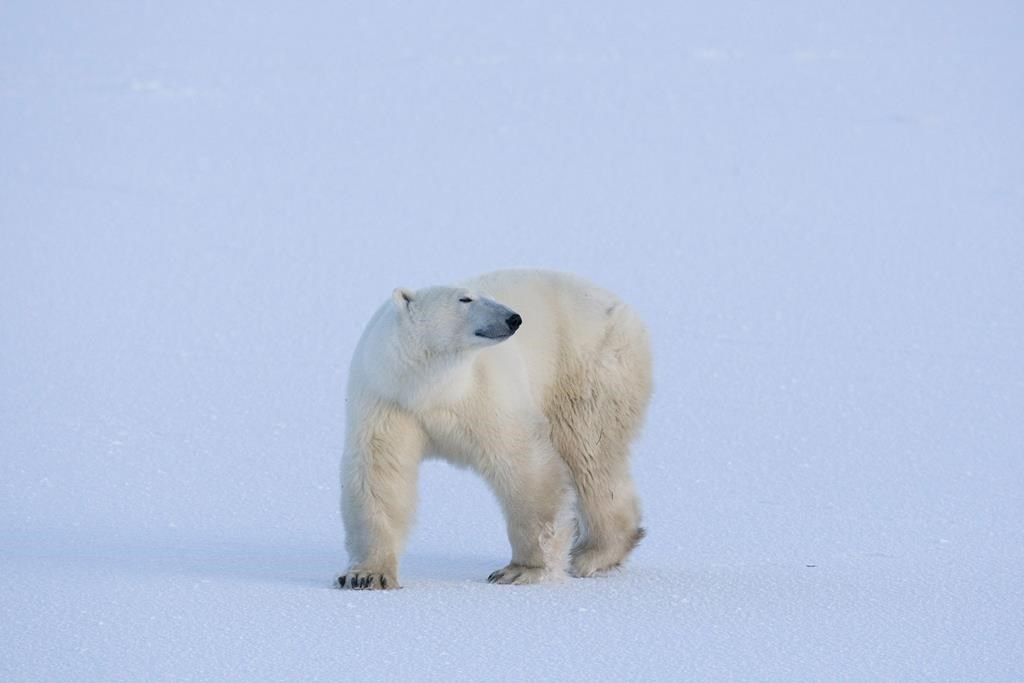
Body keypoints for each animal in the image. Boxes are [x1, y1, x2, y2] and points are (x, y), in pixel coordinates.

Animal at [336, 269, 652, 589]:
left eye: (488, 296)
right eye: (465, 298)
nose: (514, 318)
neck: (429, 389)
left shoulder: (484, 394)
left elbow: (525, 466)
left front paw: (521, 570)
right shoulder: (388, 400)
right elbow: (380, 477)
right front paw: (366, 575)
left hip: (587, 367)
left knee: (588, 454)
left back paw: (593, 555)